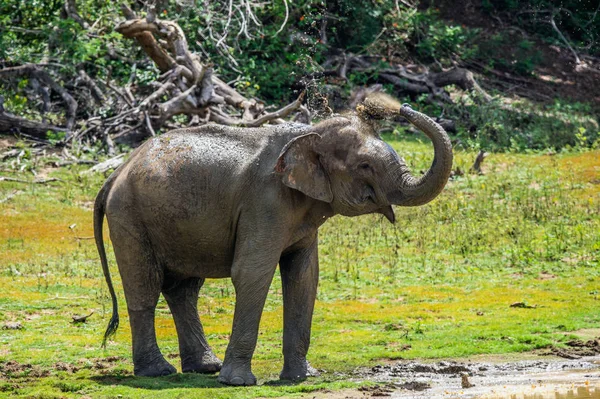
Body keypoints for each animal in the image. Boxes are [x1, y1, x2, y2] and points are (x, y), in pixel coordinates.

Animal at [92, 92, 450, 386]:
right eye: (364, 165)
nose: (396, 106)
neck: (309, 133)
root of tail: (115, 173)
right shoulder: (264, 202)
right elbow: (252, 272)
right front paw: (238, 383)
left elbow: (305, 276)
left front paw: (301, 378)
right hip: (130, 217)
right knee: (145, 287)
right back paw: (158, 372)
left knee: (184, 290)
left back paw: (205, 367)